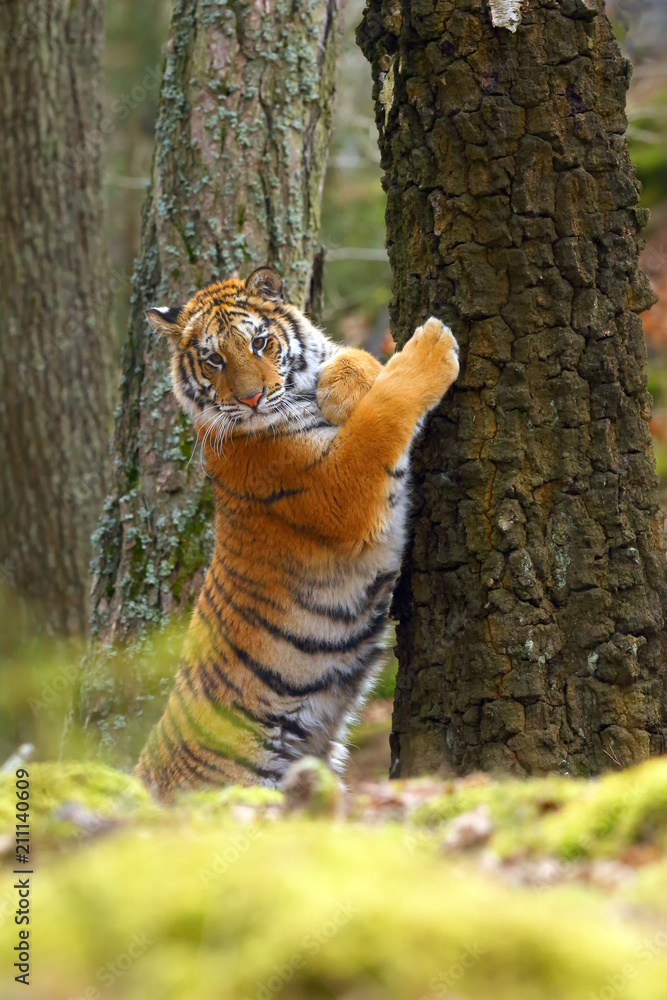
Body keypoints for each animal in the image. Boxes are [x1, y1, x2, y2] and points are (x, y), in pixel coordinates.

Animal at [136, 265, 459, 797]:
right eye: (213, 360)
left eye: (260, 342)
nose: (251, 398)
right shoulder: (339, 489)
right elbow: (381, 416)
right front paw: (430, 346)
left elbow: (351, 358)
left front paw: (345, 387)